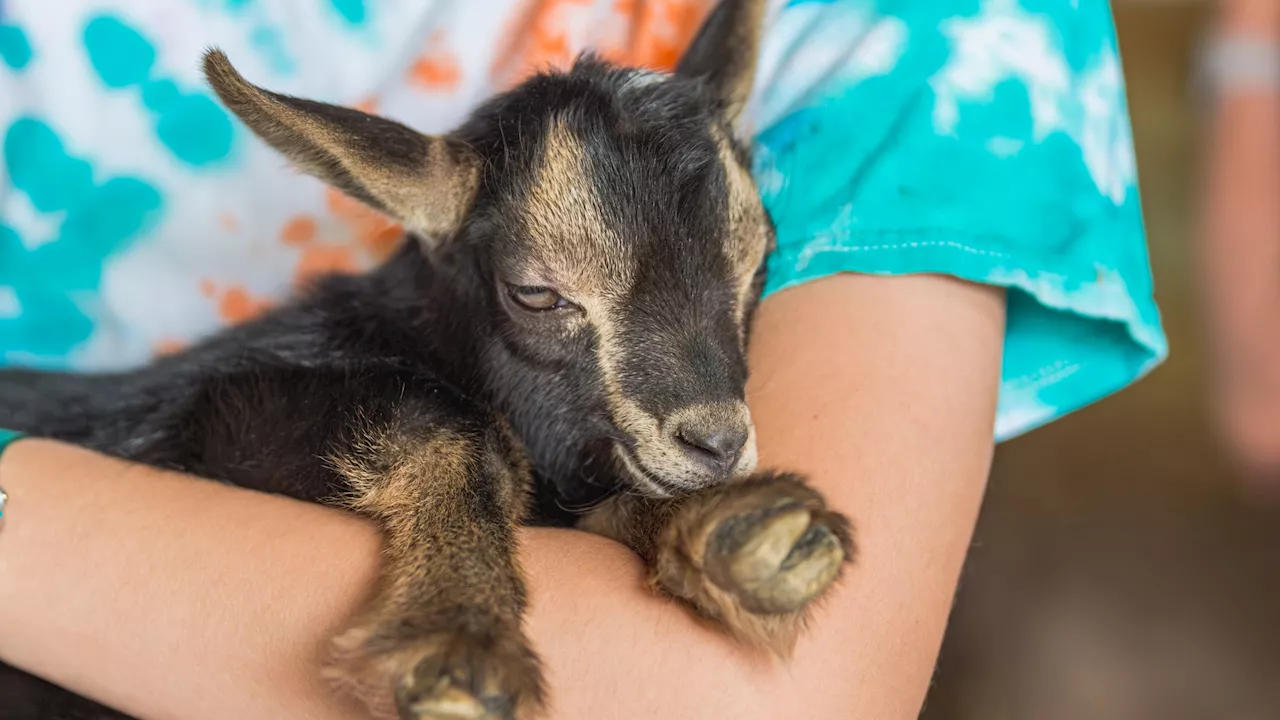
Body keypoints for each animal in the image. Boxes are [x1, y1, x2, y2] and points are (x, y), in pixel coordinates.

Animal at [2, 2, 860, 712]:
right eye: (535, 292)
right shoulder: (200, 417)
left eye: (761, 261)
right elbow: (453, 427)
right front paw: (457, 636)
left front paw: (735, 531)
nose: (716, 442)